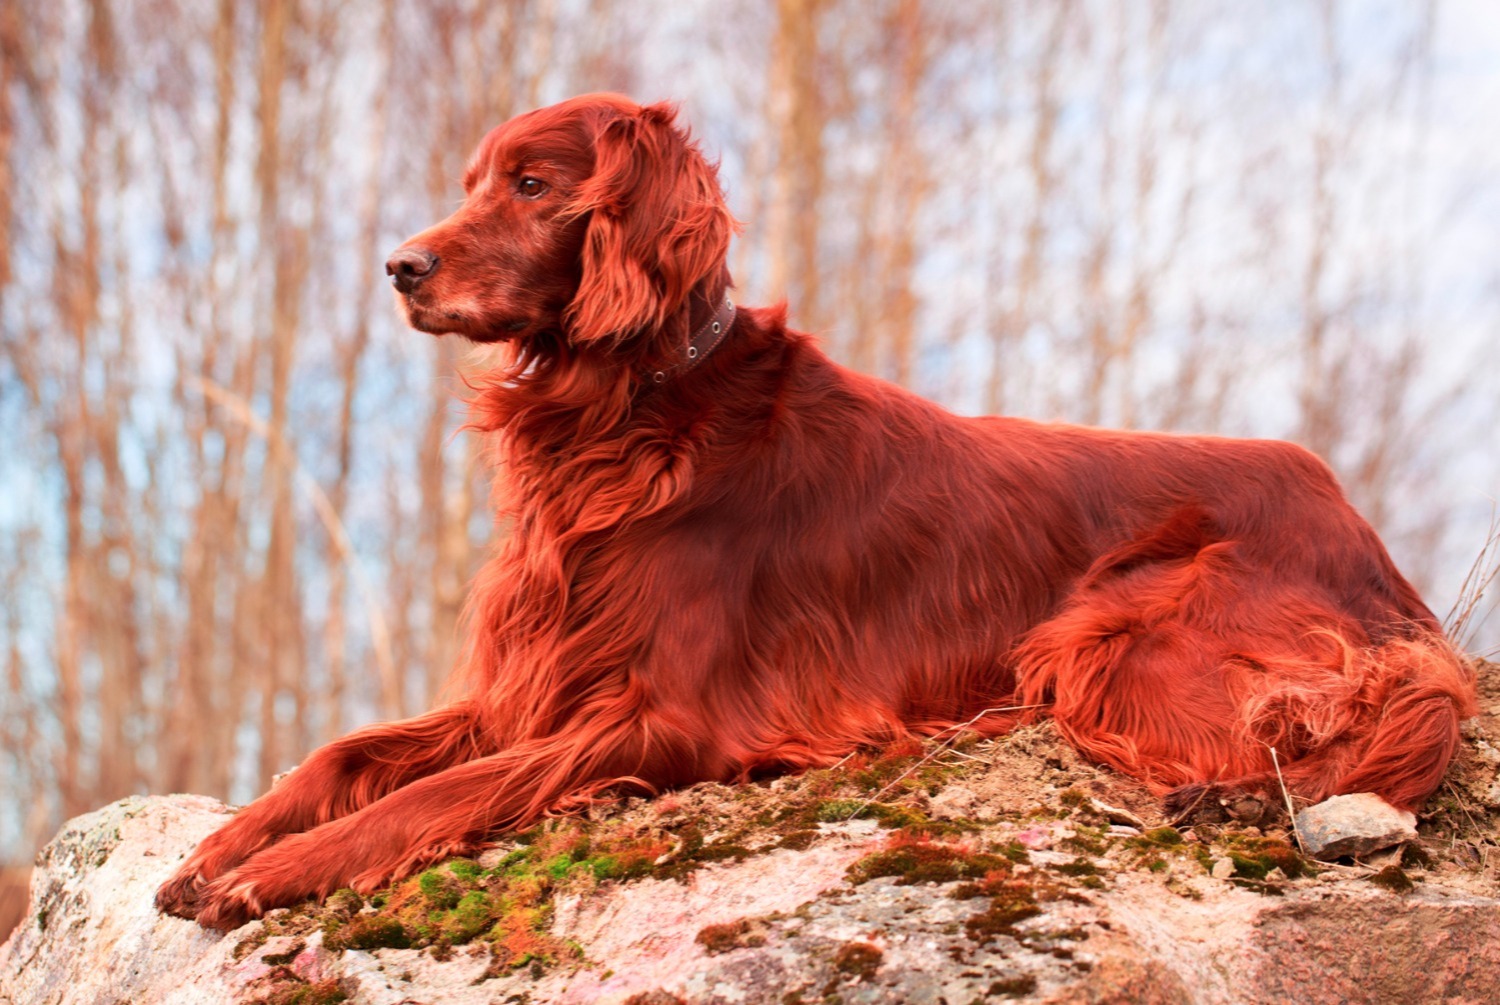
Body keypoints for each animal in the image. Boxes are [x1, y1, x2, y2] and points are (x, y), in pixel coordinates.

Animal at [158, 92, 1470, 930]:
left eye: (533, 185)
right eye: (474, 181)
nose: (402, 267)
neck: (627, 413)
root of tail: (1359, 529)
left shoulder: (662, 718)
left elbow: (436, 792)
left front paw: (280, 870)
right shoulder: (533, 682)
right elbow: (349, 752)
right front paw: (224, 845)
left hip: (1105, 638)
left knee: (1295, 744)